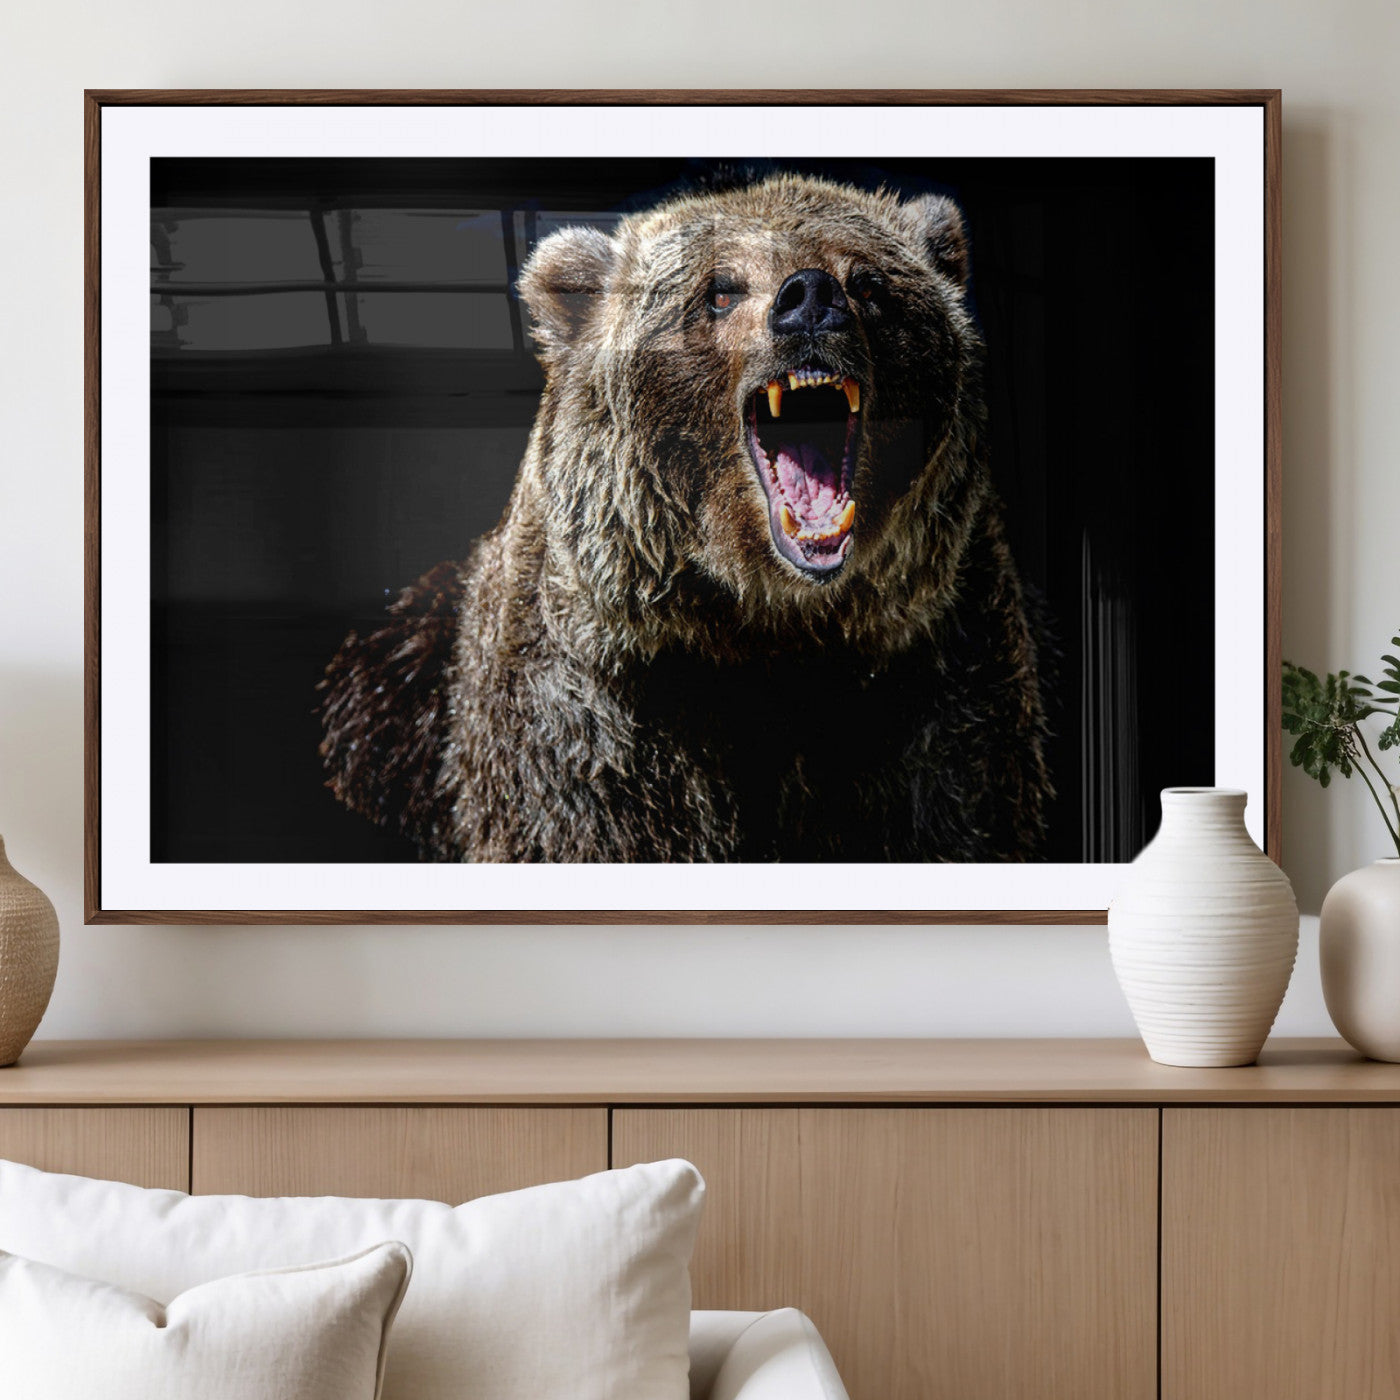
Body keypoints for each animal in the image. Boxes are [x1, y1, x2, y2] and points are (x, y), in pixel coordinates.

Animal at [319, 172, 1051, 863]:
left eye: (868, 282)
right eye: (720, 290)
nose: (811, 298)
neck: (767, 626)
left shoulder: (935, 680)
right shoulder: (598, 712)